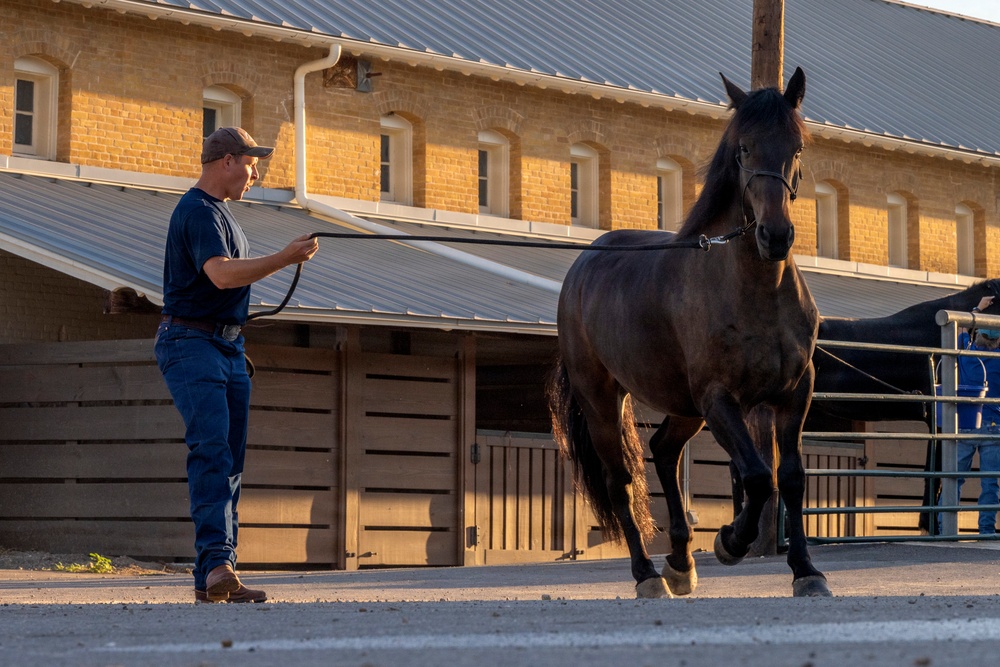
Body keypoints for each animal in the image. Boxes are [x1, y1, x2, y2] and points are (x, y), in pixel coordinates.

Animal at [548, 67, 831, 598]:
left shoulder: (794, 393)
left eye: (798, 147)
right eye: (743, 149)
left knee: (662, 450)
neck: (756, 292)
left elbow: (791, 478)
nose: (775, 236)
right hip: (604, 401)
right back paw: (647, 575)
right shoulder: (720, 398)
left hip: (684, 406)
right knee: (620, 482)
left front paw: (807, 570)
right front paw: (731, 541)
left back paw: (680, 562)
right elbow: (758, 477)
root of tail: (581, 267)